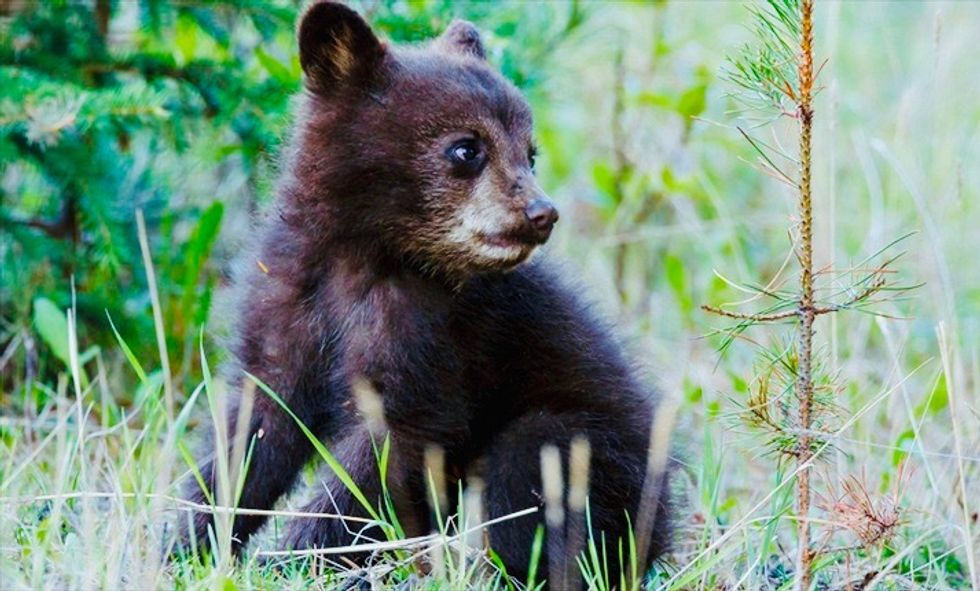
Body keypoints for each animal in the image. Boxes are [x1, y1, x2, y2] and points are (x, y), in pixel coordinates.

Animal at [179, 1, 672, 586]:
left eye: (530, 153)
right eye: (467, 148)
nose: (542, 213)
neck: (365, 255)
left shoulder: (433, 336)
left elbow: (382, 452)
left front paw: (288, 561)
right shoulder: (288, 297)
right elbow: (252, 432)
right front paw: (182, 543)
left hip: (592, 450)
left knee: (529, 471)